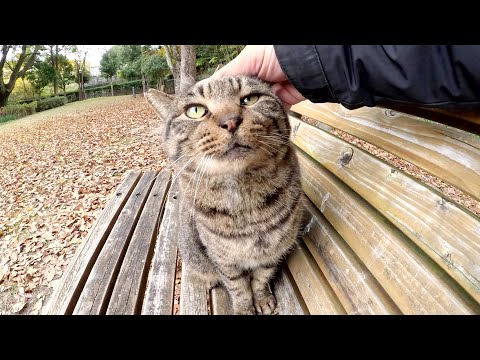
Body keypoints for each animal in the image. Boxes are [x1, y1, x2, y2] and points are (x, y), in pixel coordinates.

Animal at [146, 76, 302, 316]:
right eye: (195, 111)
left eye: (250, 99)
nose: (231, 121)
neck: (246, 204)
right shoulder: (222, 259)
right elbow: (237, 286)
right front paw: (244, 308)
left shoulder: (274, 250)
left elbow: (261, 278)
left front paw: (262, 298)